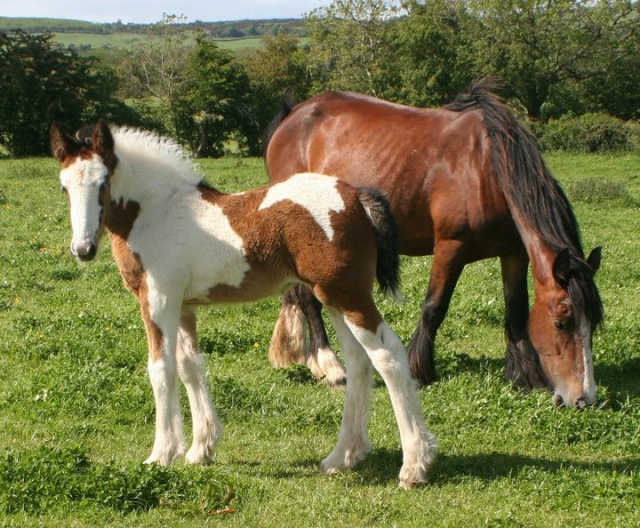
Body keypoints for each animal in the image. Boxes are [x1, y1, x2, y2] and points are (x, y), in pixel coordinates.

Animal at [262, 80, 604, 408]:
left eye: (593, 323)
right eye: (561, 323)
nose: (583, 399)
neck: (488, 168)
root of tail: (292, 115)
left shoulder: (513, 253)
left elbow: (517, 312)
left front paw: (526, 377)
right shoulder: (451, 247)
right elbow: (434, 307)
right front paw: (418, 369)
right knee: (308, 299)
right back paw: (330, 367)